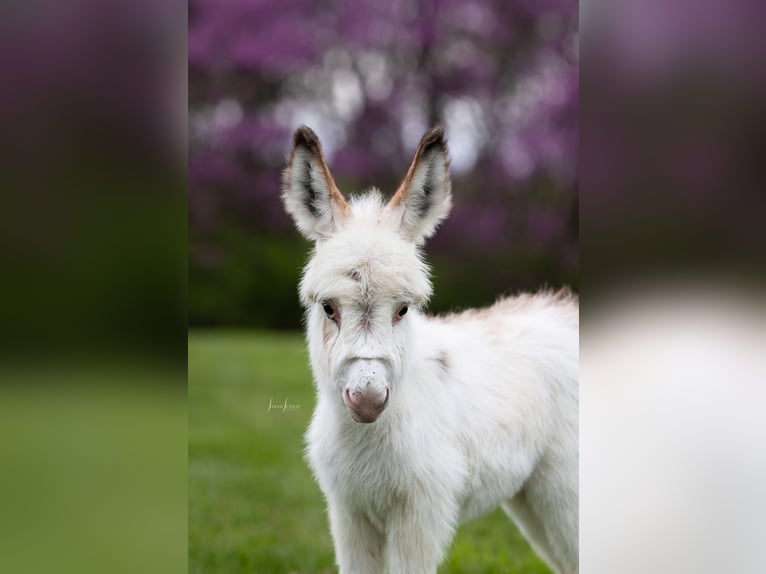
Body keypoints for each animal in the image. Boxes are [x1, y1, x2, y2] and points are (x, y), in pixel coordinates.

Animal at [284, 127, 580, 574]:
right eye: (328, 308)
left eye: (404, 308)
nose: (367, 401)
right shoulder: (348, 511)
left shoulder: (422, 511)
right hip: (531, 497)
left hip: (564, 487)